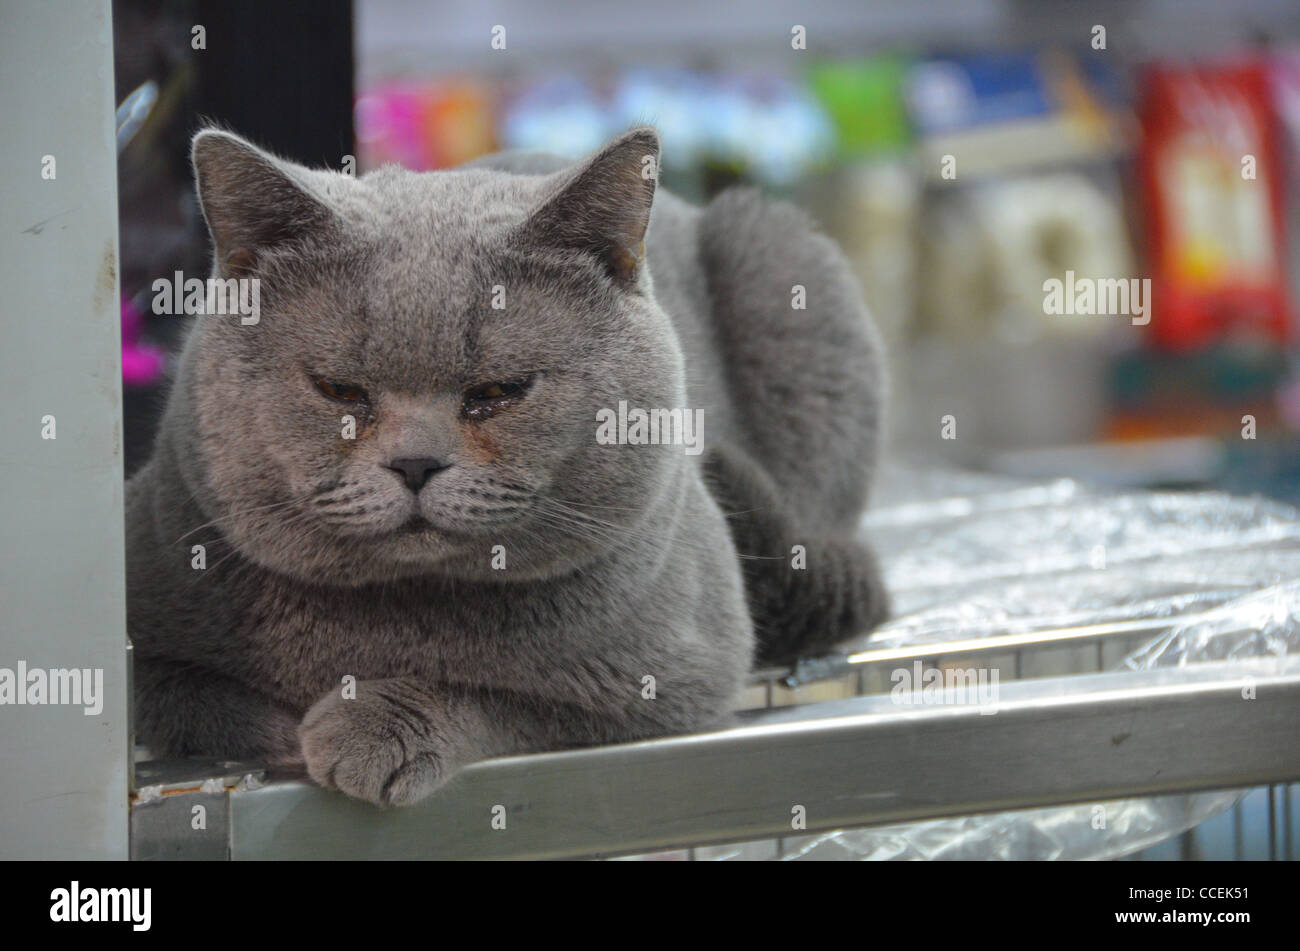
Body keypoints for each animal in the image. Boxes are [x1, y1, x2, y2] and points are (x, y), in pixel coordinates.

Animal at [126, 126, 889, 805]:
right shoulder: (145, 637)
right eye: (339, 390)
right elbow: (197, 701)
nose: (415, 463)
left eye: (500, 391)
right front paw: (297, 728)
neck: (396, 613)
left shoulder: (677, 675)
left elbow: (505, 696)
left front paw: (369, 728)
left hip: (783, 267)